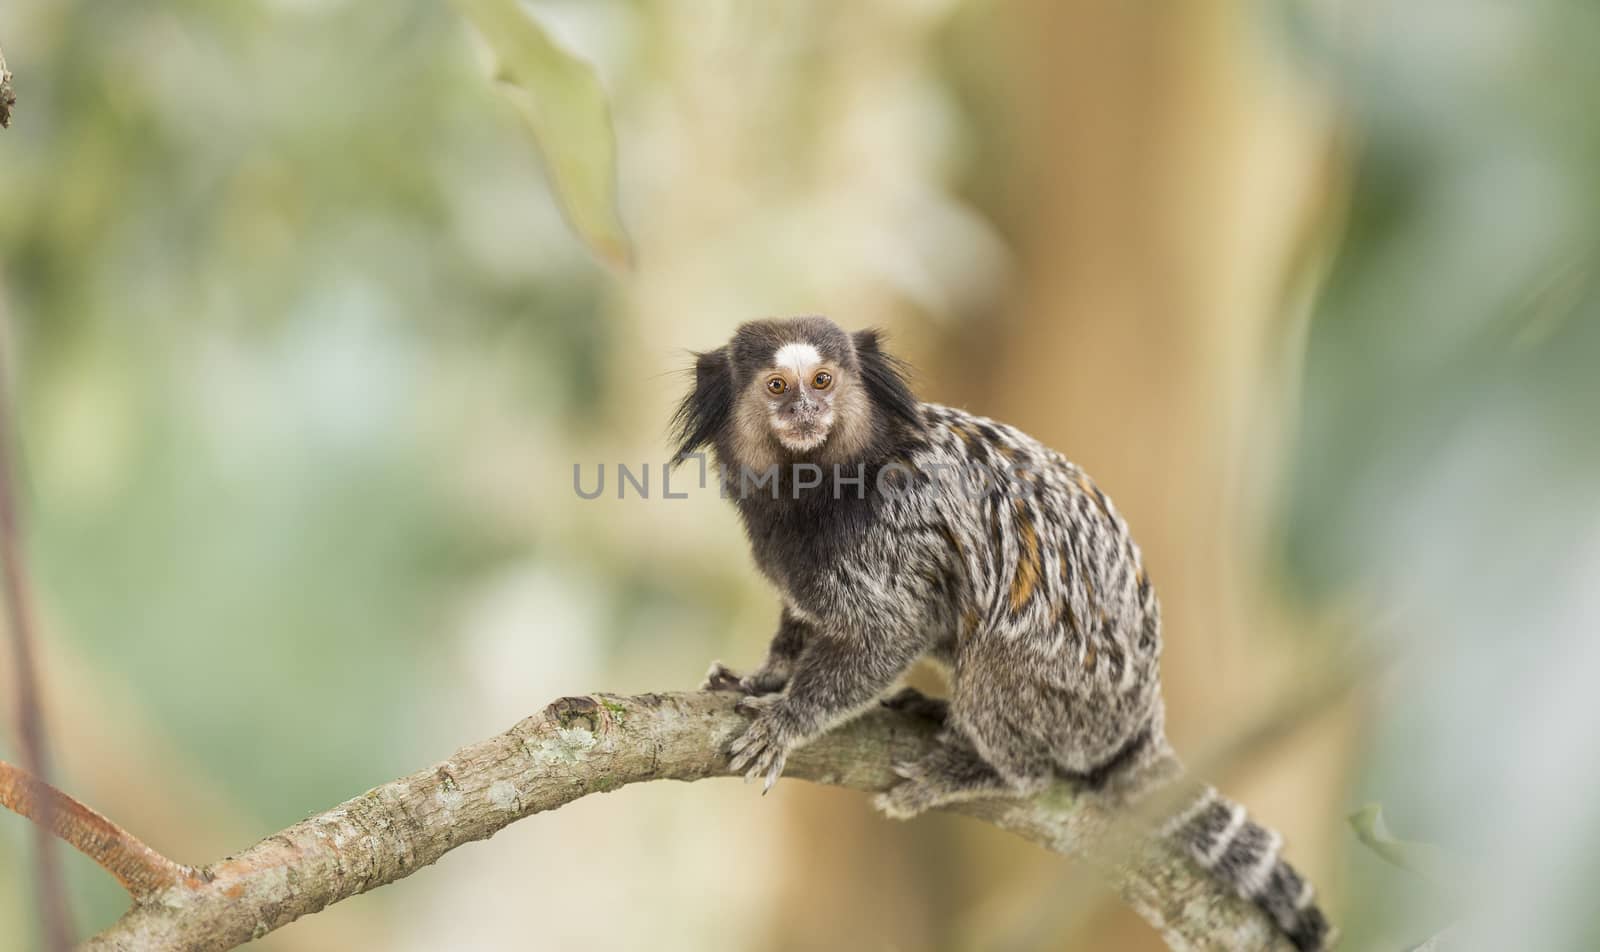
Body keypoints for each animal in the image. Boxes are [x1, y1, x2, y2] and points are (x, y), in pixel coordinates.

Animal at [672, 316, 1324, 947]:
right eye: (778, 386)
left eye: (823, 381)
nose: (805, 409)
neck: (820, 483)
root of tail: (1142, 713)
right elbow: (803, 618)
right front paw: (764, 678)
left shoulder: (892, 532)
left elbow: (890, 633)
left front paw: (789, 718)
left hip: (1075, 699)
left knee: (996, 668)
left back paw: (986, 770)